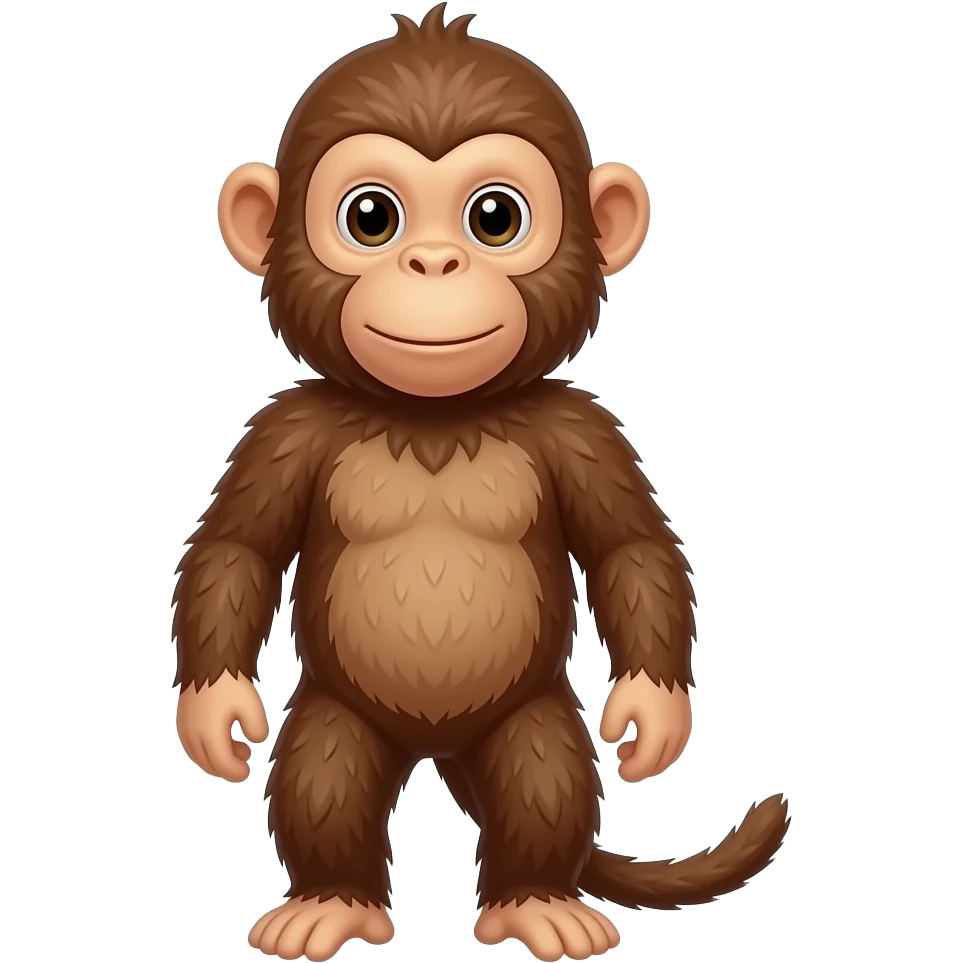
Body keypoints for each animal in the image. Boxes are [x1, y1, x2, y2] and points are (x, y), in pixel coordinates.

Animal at [175, 5, 792, 961]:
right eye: (371, 217)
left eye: (493, 217)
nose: (434, 263)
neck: (436, 416)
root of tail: (440, 749)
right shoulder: (285, 430)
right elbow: (236, 547)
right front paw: (215, 712)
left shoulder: (581, 429)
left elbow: (631, 548)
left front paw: (653, 713)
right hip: (339, 712)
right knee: (323, 768)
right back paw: (331, 901)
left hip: (528, 713)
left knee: (544, 771)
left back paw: (534, 901)